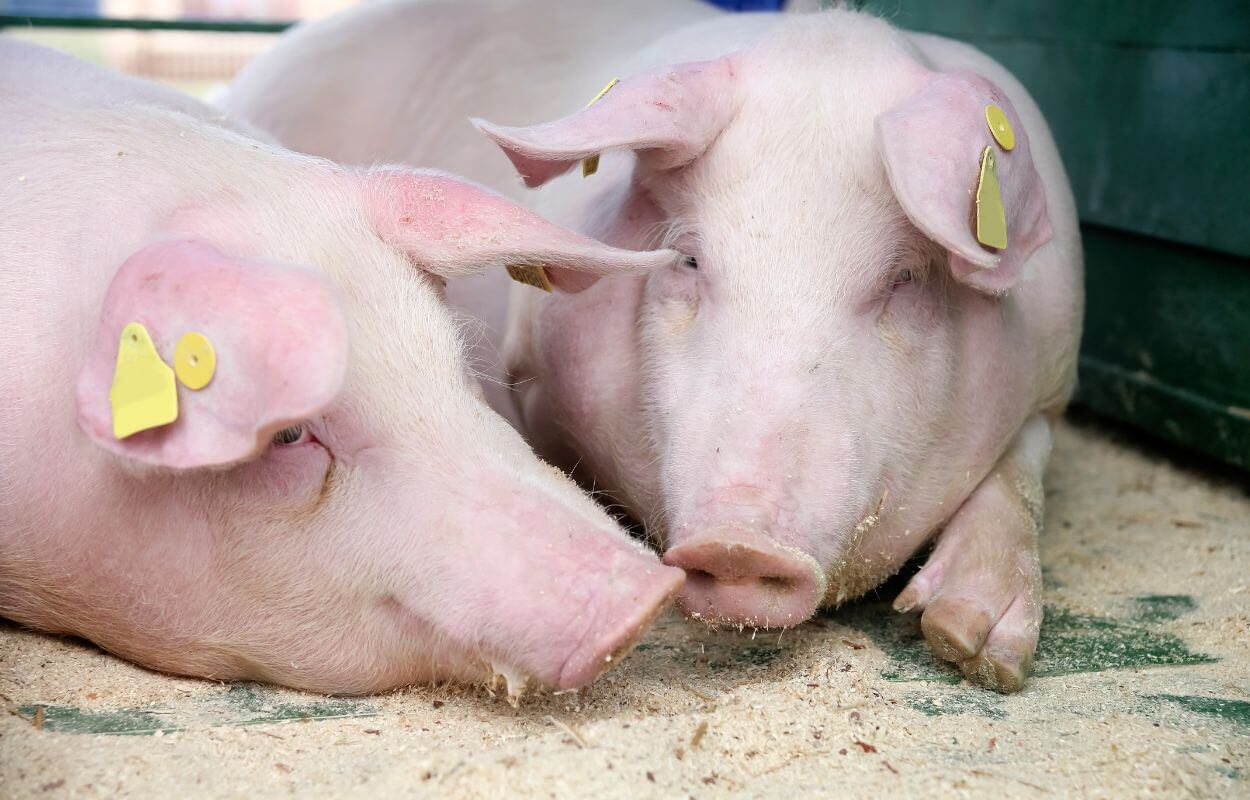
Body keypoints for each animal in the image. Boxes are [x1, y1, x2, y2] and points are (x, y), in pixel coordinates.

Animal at [227, 0, 1085, 690]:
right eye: (690, 260)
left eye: (904, 278)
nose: (739, 542)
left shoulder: (1053, 382)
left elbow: (1025, 464)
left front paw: (975, 650)